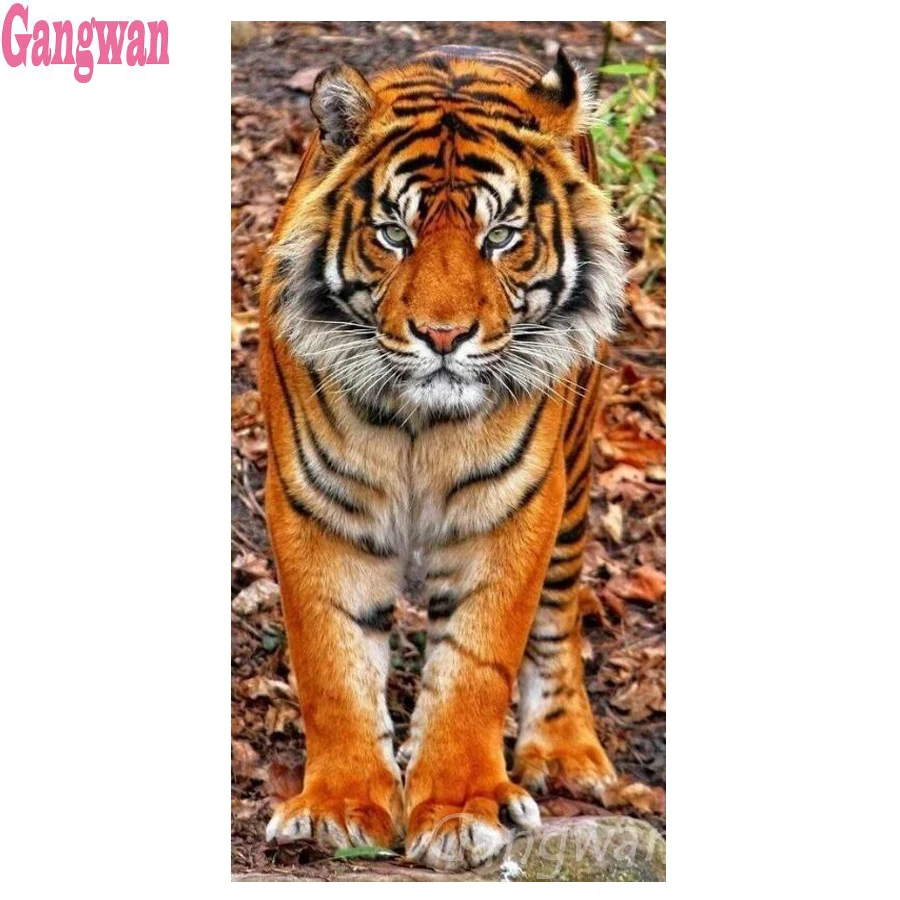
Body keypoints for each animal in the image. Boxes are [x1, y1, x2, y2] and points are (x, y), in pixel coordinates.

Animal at [257, 44, 626, 871]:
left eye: (503, 236)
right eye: (395, 234)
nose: (444, 335)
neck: (419, 423)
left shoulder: (514, 506)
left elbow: (474, 666)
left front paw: (459, 810)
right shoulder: (313, 504)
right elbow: (333, 662)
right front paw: (340, 807)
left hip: (575, 468)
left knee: (559, 617)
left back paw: (565, 754)